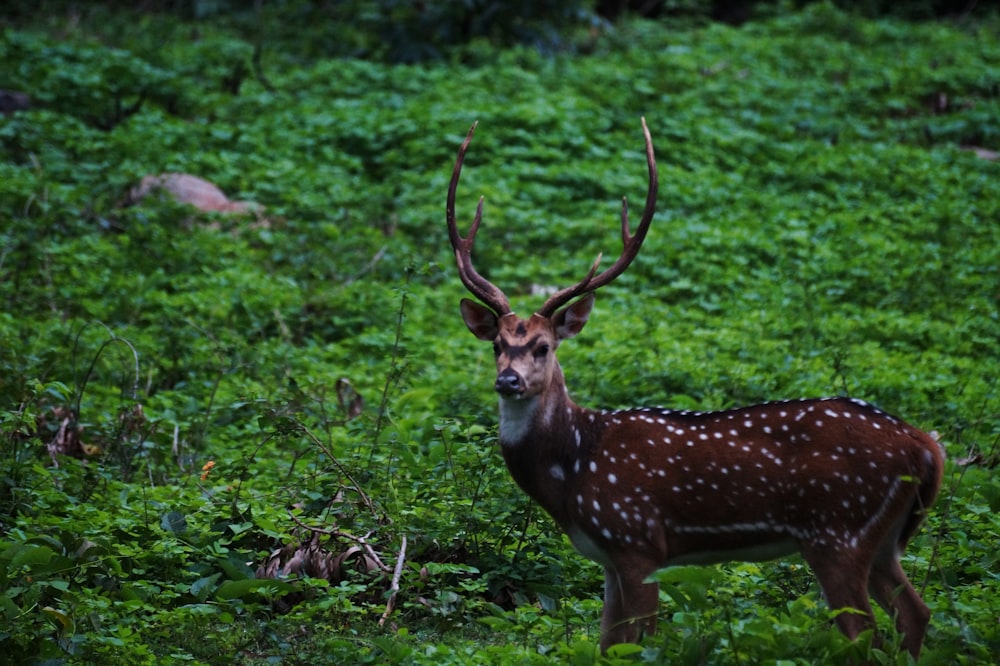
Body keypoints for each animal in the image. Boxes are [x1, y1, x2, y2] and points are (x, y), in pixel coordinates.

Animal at [446, 118, 944, 652]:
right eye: (497, 344)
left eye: (542, 346)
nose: (508, 380)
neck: (573, 465)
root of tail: (928, 448)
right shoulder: (606, 557)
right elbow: (607, 645)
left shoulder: (637, 540)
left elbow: (639, 642)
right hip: (884, 539)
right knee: (916, 612)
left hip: (838, 530)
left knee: (864, 632)